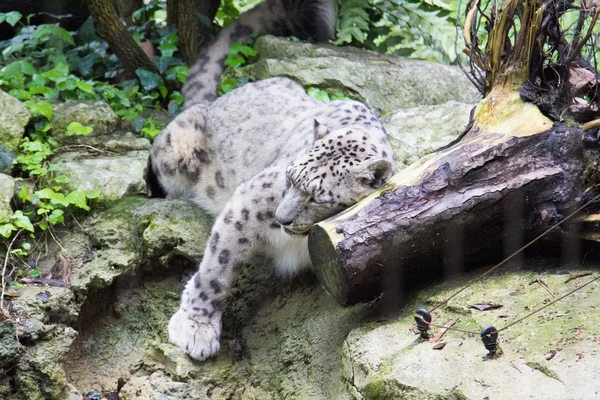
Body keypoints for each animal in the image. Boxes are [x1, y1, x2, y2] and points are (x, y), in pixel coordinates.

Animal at [145, 0, 396, 362]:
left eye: (319, 197)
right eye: (289, 176)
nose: (281, 218)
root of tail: (216, 99)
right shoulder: (248, 202)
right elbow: (217, 267)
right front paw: (196, 328)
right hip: (176, 151)